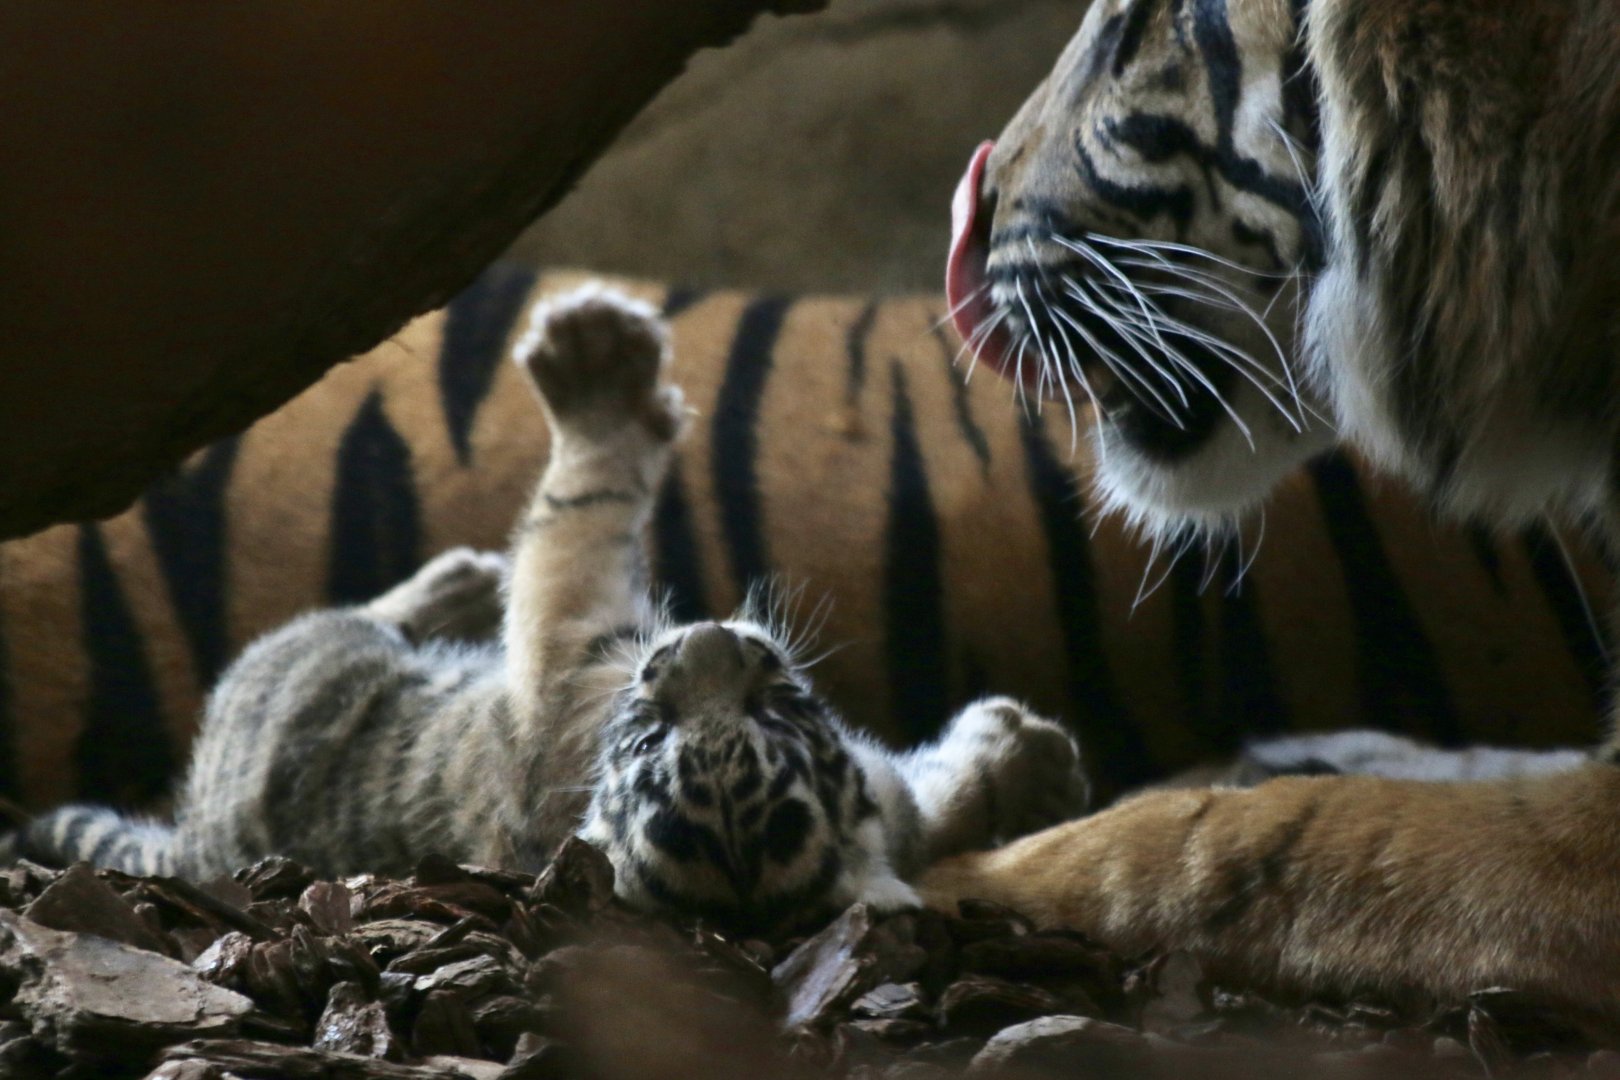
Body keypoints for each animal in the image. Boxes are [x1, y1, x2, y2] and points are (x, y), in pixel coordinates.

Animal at [5, 286, 1087, 932]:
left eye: (769, 710)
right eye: (647, 730)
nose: (700, 640)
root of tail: (196, 845)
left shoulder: (570, 654)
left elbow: (578, 510)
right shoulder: (573, 655)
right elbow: (584, 510)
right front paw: (1028, 756)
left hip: (296, 657)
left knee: (380, 616)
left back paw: (452, 581)